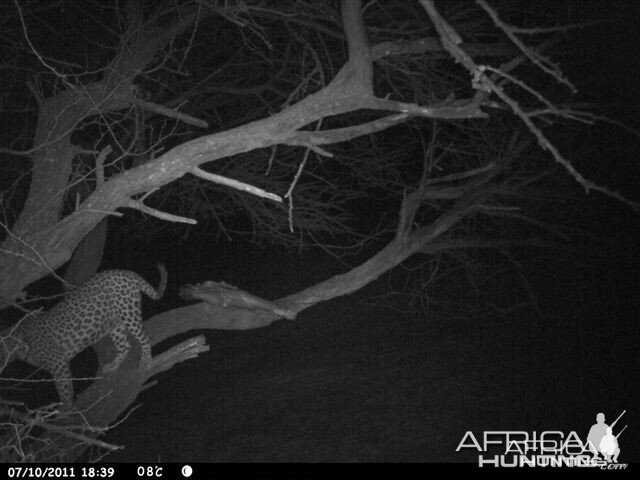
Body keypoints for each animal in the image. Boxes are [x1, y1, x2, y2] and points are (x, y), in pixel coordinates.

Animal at [0, 264, 168, 406]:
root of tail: (125, 272)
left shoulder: (58, 363)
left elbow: (64, 389)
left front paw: (67, 409)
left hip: (128, 311)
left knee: (144, 337)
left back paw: (146, 361)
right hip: (115, 322)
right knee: (125, 346)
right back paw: (112, 366)